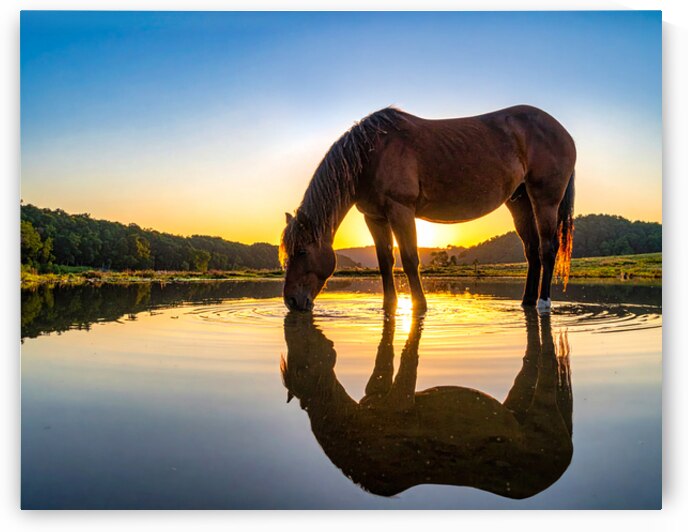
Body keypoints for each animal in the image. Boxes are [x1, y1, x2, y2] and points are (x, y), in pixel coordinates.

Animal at [280, 105, 576, 313]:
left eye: (302, 251)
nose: (291, 301)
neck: (371, 154)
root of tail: (563, 132)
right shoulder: (374, 218)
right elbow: (385, 262)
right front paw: (389, 307)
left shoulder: (401, 210)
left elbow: (410, 259)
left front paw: (419, 306)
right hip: (519, 201)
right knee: (532, 251)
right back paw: (526, 302)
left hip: (545, 199)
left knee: (548, 248)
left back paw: (543, 303)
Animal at [281, 309, 573, 499]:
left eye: (302, 365)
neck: (354, 428)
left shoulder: (400, 401)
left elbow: (408, 358)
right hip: (519, 403)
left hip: (543, 406)